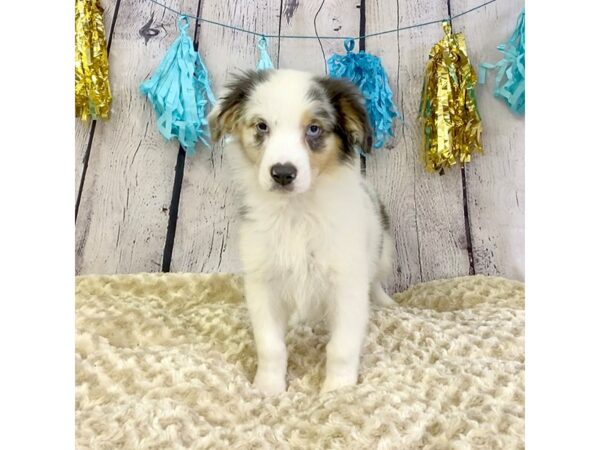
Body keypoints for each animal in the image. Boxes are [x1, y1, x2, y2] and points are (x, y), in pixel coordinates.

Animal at [209, 68, 396, 396]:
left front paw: (338, 390)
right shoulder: (263, 283)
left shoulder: (347, 283)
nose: (283, 173)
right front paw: (268, 388)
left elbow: (342, 348)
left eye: (314, 129)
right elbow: (271, 347)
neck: (296, 212)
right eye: (262, 126)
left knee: (375, 282)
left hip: (382, 251)